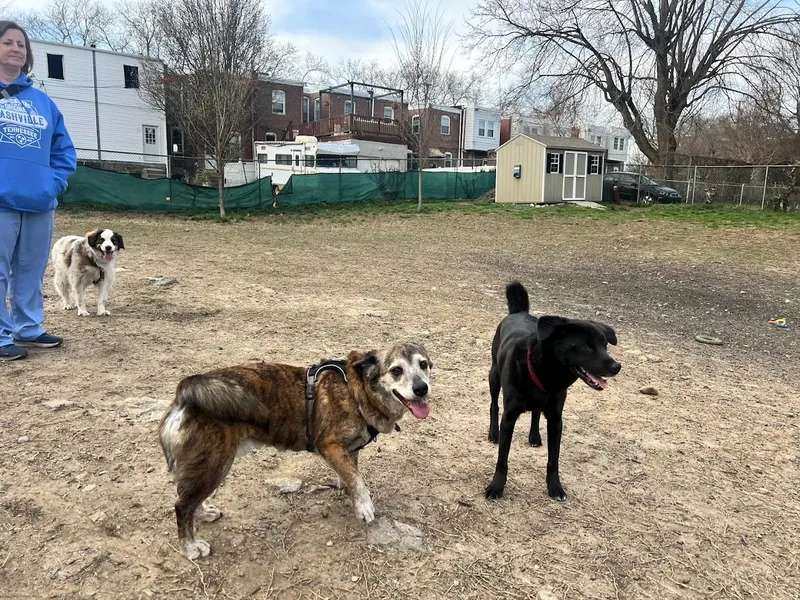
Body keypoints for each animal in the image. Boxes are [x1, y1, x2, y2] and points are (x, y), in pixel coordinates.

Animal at [484, 282, 620, 502]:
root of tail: (519, 312)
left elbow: (553, 459)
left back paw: (534, 436)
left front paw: (556, 487)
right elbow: (502, 459)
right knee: (494, 405)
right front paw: (496, 486)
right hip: (494, 376)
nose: (617, 366)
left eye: (605, 346)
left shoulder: (556, 420)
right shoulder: (509, 417)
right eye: (585, 346)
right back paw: (493, 433)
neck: (546, 373)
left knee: (536, 412)